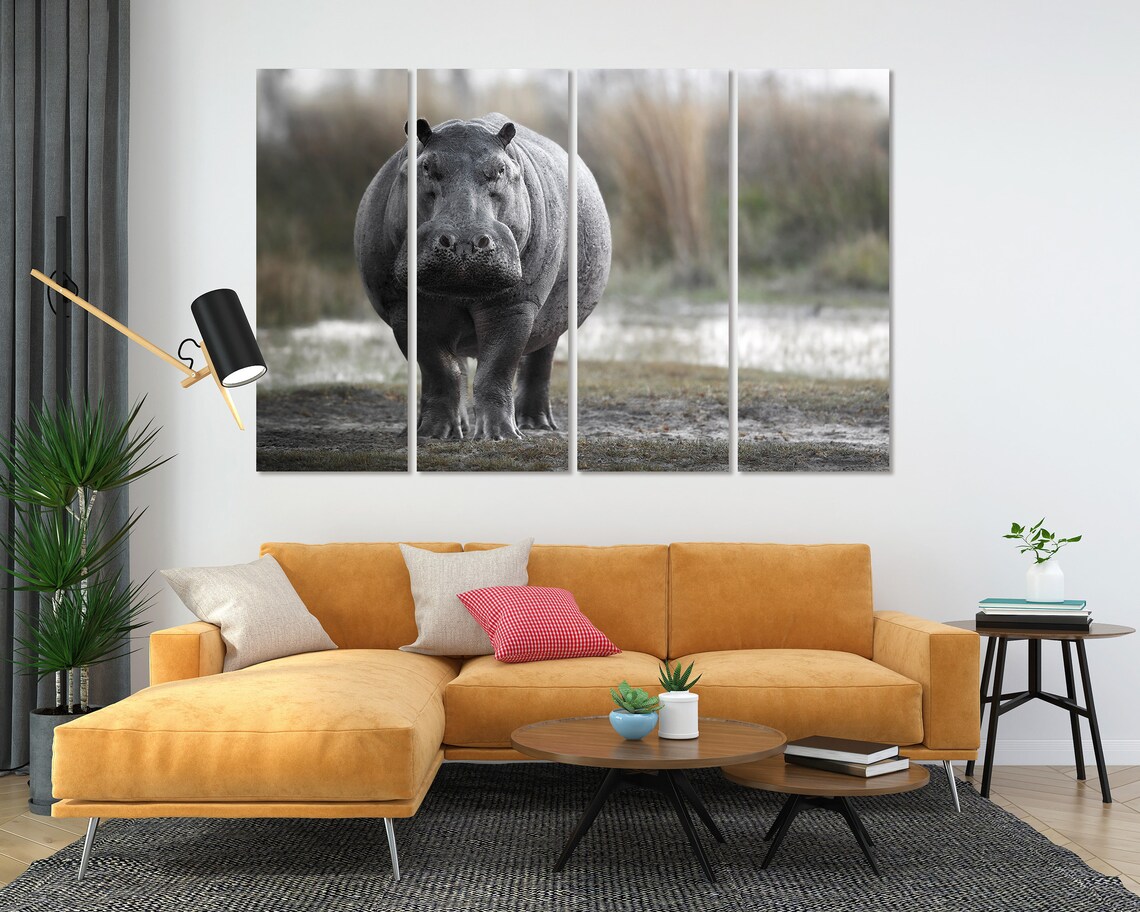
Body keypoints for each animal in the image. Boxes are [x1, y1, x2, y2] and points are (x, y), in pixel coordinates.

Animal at [354, 114, 611, 440]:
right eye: (425, 167)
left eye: (500, 169)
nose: (464, 241)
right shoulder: (404, 307)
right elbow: (439, 370)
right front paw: (433, 435)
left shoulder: (516, 305)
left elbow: (497, 368)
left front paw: (501, 436)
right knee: (455, 366)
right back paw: (440, 429)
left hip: (554, 317)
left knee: (541, 359)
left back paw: (535, 424)